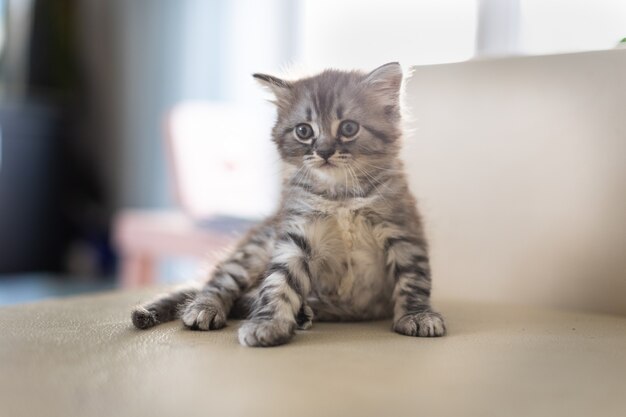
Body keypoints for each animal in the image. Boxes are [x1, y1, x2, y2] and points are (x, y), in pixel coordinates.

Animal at [132, 62, 444, 348]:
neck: (339, 195)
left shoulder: (403, 230)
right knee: (218, 284)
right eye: (304, 131)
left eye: (348, 128)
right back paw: (204, 308)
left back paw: (304, 312)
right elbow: (278, 284)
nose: (324, 151)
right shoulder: (296, 237)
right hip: (252, 252)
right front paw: (268, 323)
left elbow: (413, 279)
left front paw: (417, 316)